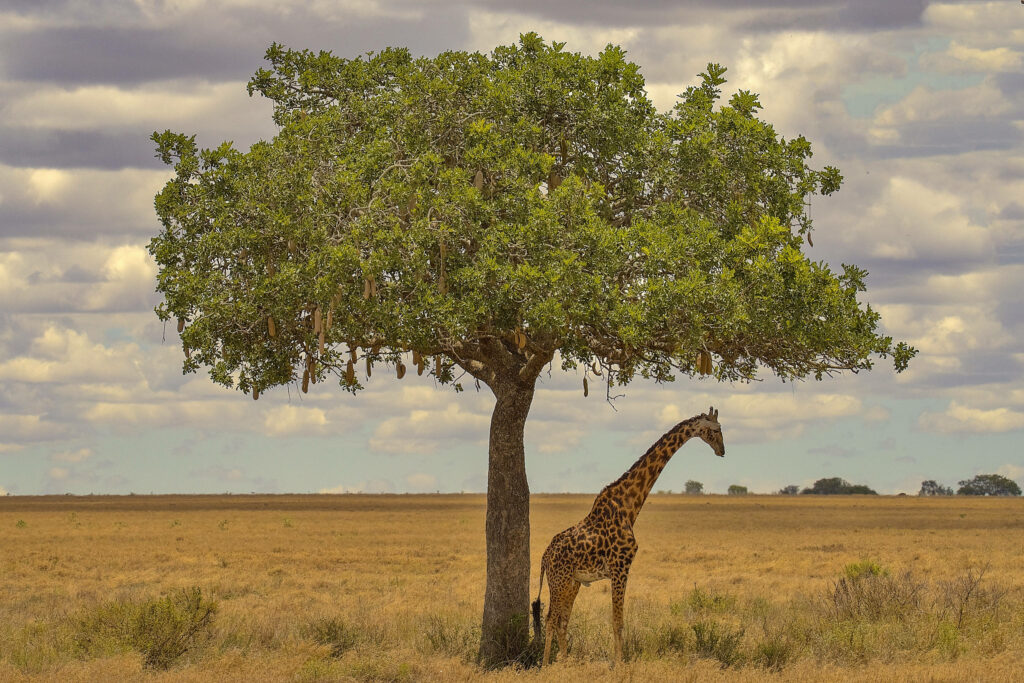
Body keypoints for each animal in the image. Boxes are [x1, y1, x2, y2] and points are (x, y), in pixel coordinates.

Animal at [532, 407, 724, 666]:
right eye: (715, 430)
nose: (722, 451)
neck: (628, 507)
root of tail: (544, 557)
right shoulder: (620, 567)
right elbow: (617, 621)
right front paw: (619, 664)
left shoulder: (617, 569)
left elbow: (615, 620)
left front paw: (617, 661)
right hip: (558, 580)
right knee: (551, 618)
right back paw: (546, 665)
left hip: (573, 581)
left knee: (562, 619)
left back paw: (565, 661)